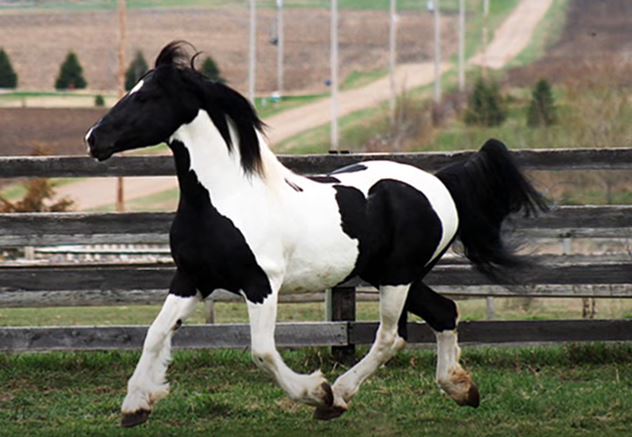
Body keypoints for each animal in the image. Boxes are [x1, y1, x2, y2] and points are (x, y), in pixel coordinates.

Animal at [85, 41, 548, 426]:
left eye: (146, 96)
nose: (93, 139)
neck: (226, 196)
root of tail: (440, 184)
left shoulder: (261, 285)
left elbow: (263, 352)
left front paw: (315, 391)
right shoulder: (191, 279)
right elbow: (155, 335)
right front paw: (135, 406)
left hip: (397, 278)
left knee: (390, 337)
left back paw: (336, 399)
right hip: (395, 276)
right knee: (444, 313)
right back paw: (461, 389)